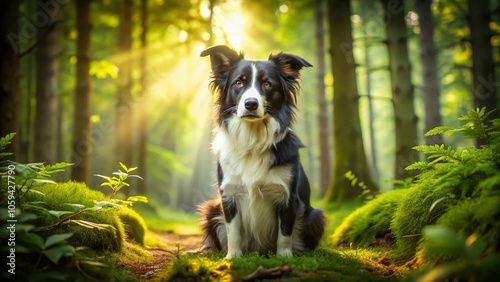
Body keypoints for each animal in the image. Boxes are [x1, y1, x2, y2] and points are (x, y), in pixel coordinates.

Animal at [198, 45, 324, 258]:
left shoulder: (287, 196)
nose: (251, 103)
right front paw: (232, 257)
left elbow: (285, 233)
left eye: (267, 84)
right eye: (239, 82)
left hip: (316, 215)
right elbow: (233, 230)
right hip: (211, 207)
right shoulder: (229, 194)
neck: (253, 140)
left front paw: (285, 257)